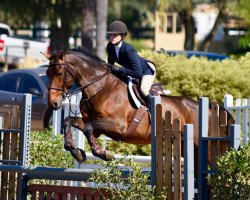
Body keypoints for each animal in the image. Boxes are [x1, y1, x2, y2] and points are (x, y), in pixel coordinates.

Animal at [43, 48, 234, 175]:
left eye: (59, 73)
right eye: (47, 72)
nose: (53, 103)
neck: (100, 88)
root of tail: (211, 109)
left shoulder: (117, 126)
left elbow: (89, 128)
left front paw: (105, 154)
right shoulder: (96, 127)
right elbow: (70, 121)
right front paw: (76, 151)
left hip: (208, 147)